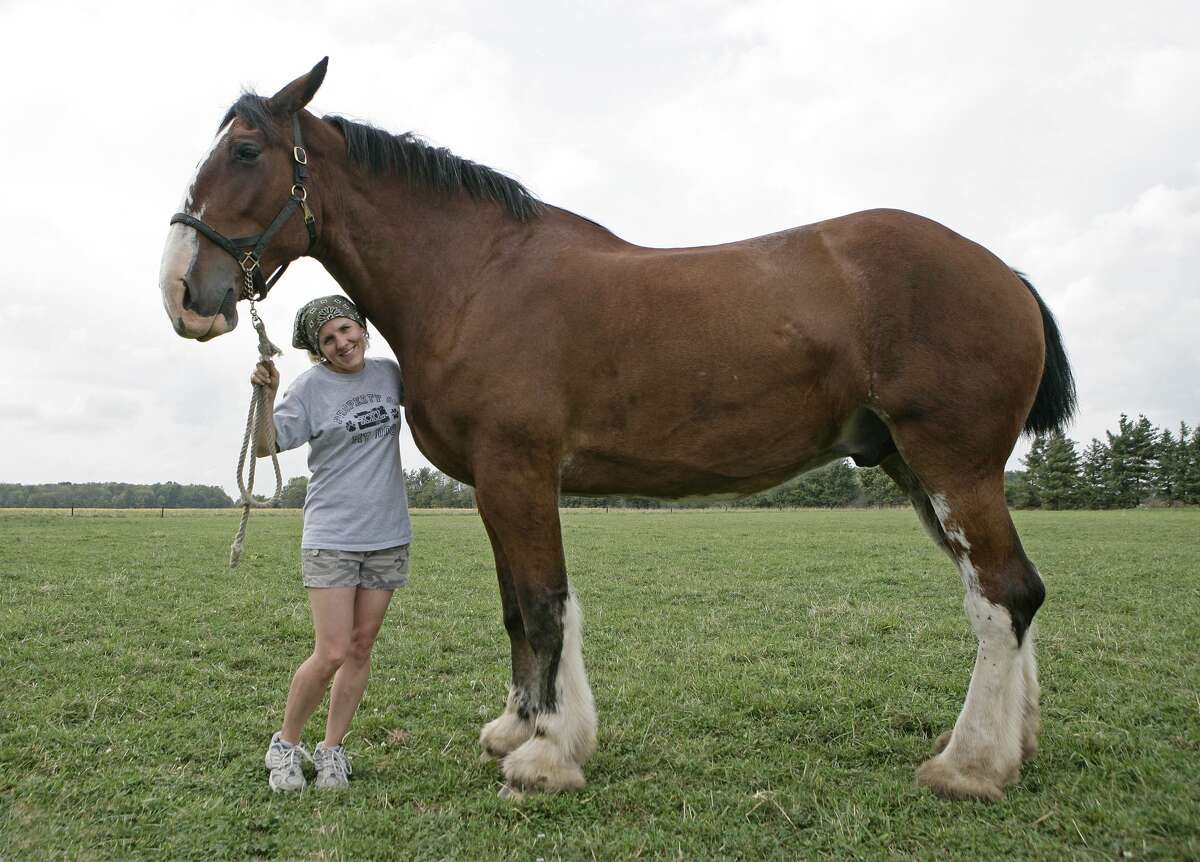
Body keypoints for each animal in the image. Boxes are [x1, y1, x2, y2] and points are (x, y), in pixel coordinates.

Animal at [159, 60, 1080, 801]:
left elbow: (543, 607)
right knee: (1006, 596)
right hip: (914, 468)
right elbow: (515, 609)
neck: (474, 277)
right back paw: (1015, 747)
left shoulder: (519, 471)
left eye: (246, 152)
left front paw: (546, 758)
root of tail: (1002, 272)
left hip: (952, 464)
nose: (183, 292)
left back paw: (968, 766)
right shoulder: (497, 485)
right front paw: (517, 728)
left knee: (1003, 595)